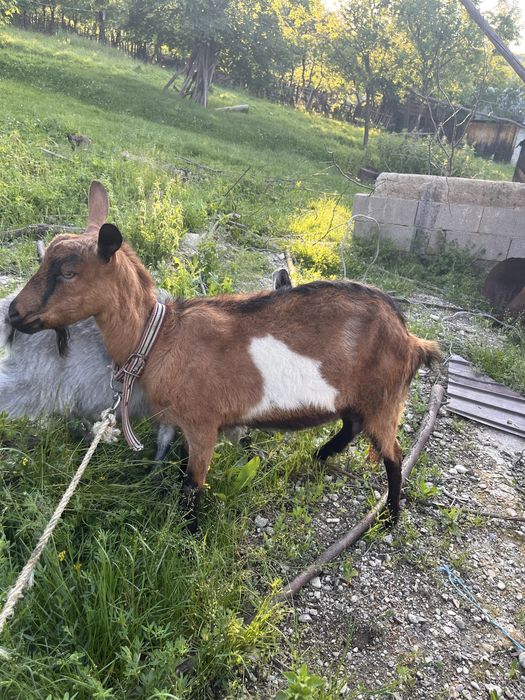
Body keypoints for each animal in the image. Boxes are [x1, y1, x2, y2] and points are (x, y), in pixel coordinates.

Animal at [9, 182, 441, 531]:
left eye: (68, 272)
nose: (13, 312)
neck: (159, 338)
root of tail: (411, 338)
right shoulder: (175, 419)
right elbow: (167, 457)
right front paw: (158, 491)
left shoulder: (203, 424)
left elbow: (192, 483)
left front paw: (190, 533)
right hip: (357, 397)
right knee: (351, 426)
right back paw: (320, 455)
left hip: (384, 400)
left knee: (393, 456)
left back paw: (389, 518)